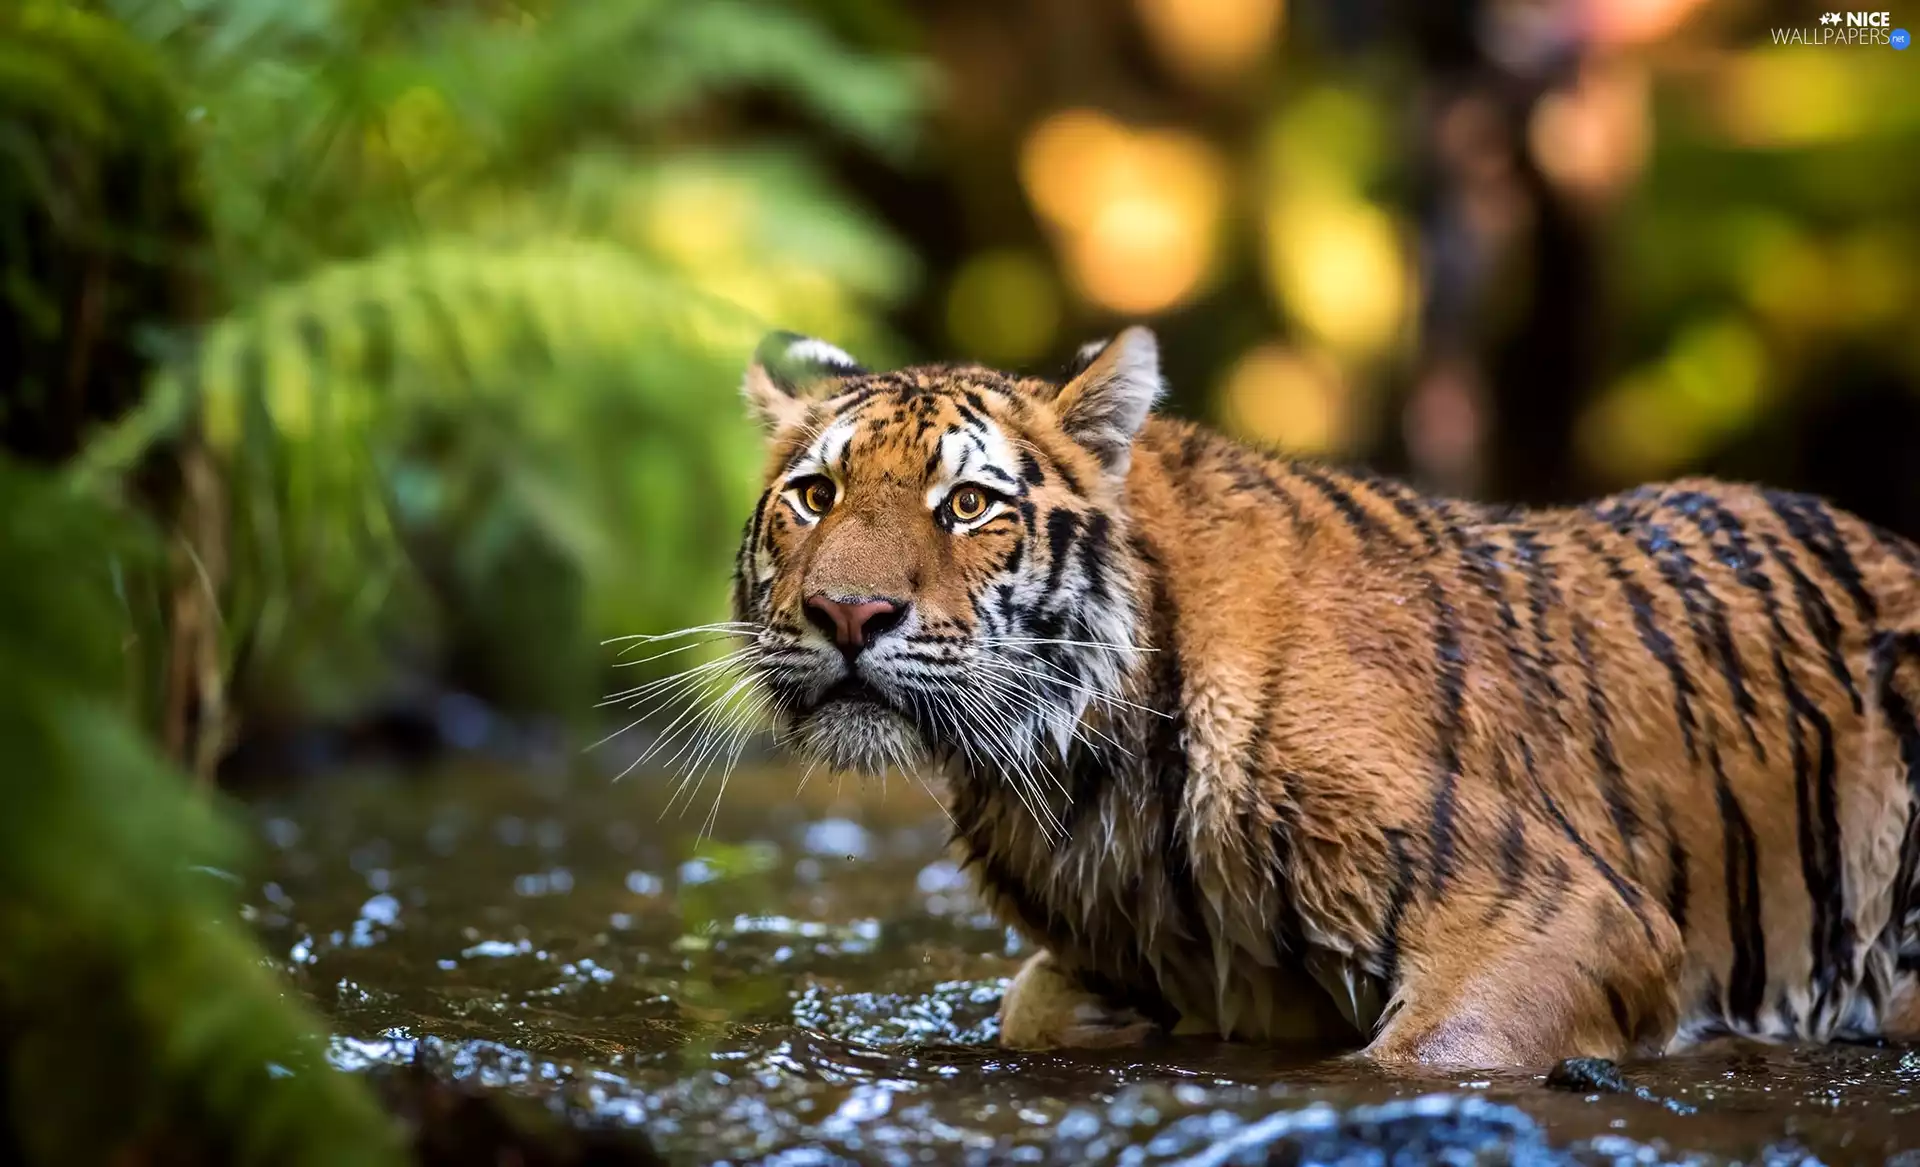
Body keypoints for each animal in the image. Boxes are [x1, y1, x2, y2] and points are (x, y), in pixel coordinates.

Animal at [726, 325, 1920, 1066]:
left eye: (969, 504)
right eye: (815, 494)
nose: (846, 613)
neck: (1077, 767)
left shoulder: (1566, 913)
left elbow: (1416, 1063)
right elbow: (1031, 1007)